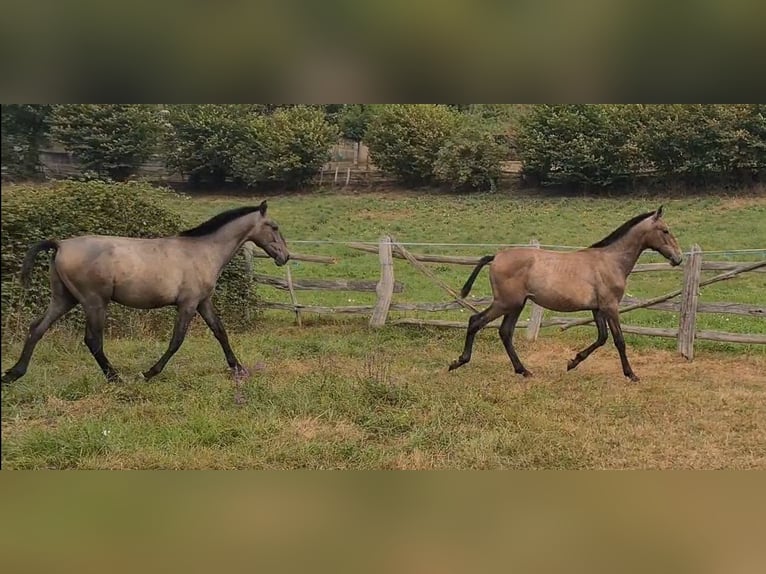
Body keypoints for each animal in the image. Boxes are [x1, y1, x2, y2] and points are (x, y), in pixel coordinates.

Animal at [1, 201, 289, 385]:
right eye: (274, 227)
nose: (284, 257)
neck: (203, 251)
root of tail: (60, 244)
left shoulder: (203, 302)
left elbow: (220, 332)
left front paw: (239, 368)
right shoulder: (187, 304)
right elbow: (176, 341)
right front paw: (149, 373)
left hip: (64, 299)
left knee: (36, 328)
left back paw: (13, 374)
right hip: (94, 302)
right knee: (92, 340)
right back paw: (115, 378)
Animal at [449, 206, 683, 382]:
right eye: (665, 230)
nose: (678, 258)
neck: (611, 261)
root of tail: (496, 257)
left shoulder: (597, 308)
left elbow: (602, 338)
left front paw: (572, 362)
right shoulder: (610, 306)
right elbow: (619, 340)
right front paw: (631, 375)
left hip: (516, 305)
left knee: (505, 332)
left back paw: (524, 370)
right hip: (506, 303)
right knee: (476, 321)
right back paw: (458, 362)